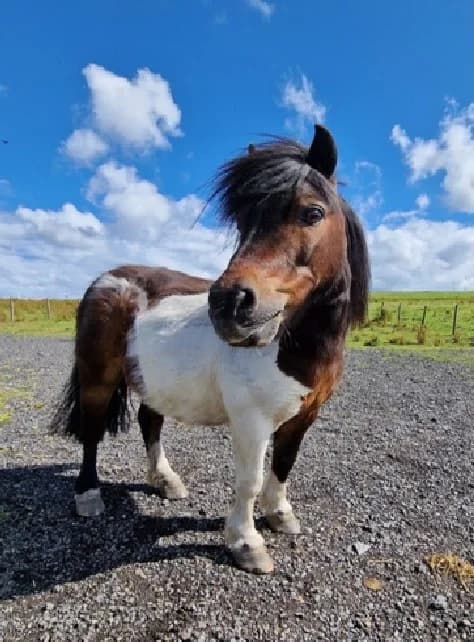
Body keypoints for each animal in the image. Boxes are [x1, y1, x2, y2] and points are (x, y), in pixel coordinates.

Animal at [51, 124, 370, 574]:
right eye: (242, 222)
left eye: (312, 213)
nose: (228, 304)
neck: (294, 346)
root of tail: (106, 280)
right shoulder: (252, 419)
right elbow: (249, 479)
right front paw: (246, 543)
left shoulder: (305, 414)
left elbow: (284, 463)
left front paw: (280, 514)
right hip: (98, 379)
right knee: (92, 431)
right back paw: (88, 495)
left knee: (150, 422)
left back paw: (165, 481)